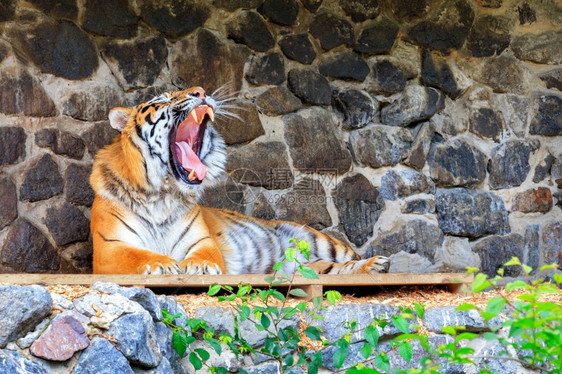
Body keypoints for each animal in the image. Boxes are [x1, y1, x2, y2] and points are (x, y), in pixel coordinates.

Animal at [91, 86, 390, 276]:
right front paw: (162, 264)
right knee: (330, 270)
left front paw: (198, 267)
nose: (200, 92)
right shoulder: (109, 248)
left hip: (319, 240)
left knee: (350, 259)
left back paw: (376, 264)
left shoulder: (202, 242)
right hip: (307, 265)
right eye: (163, 98)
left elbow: (203, 255)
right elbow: (136, 255)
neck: (162, 194)